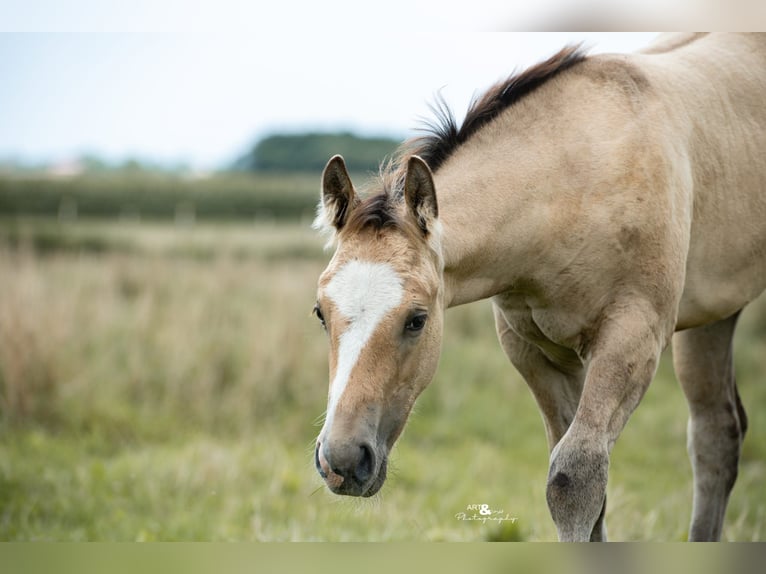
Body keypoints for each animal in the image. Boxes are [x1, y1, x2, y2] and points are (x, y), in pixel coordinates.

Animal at [310, 33, 766, 541]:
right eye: (320, 312)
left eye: (417, 320)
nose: (343, 460)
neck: (579, 180)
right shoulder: (534, 351)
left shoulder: (633, 338)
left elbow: (574, 478)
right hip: (714, 313)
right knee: (716, 436)